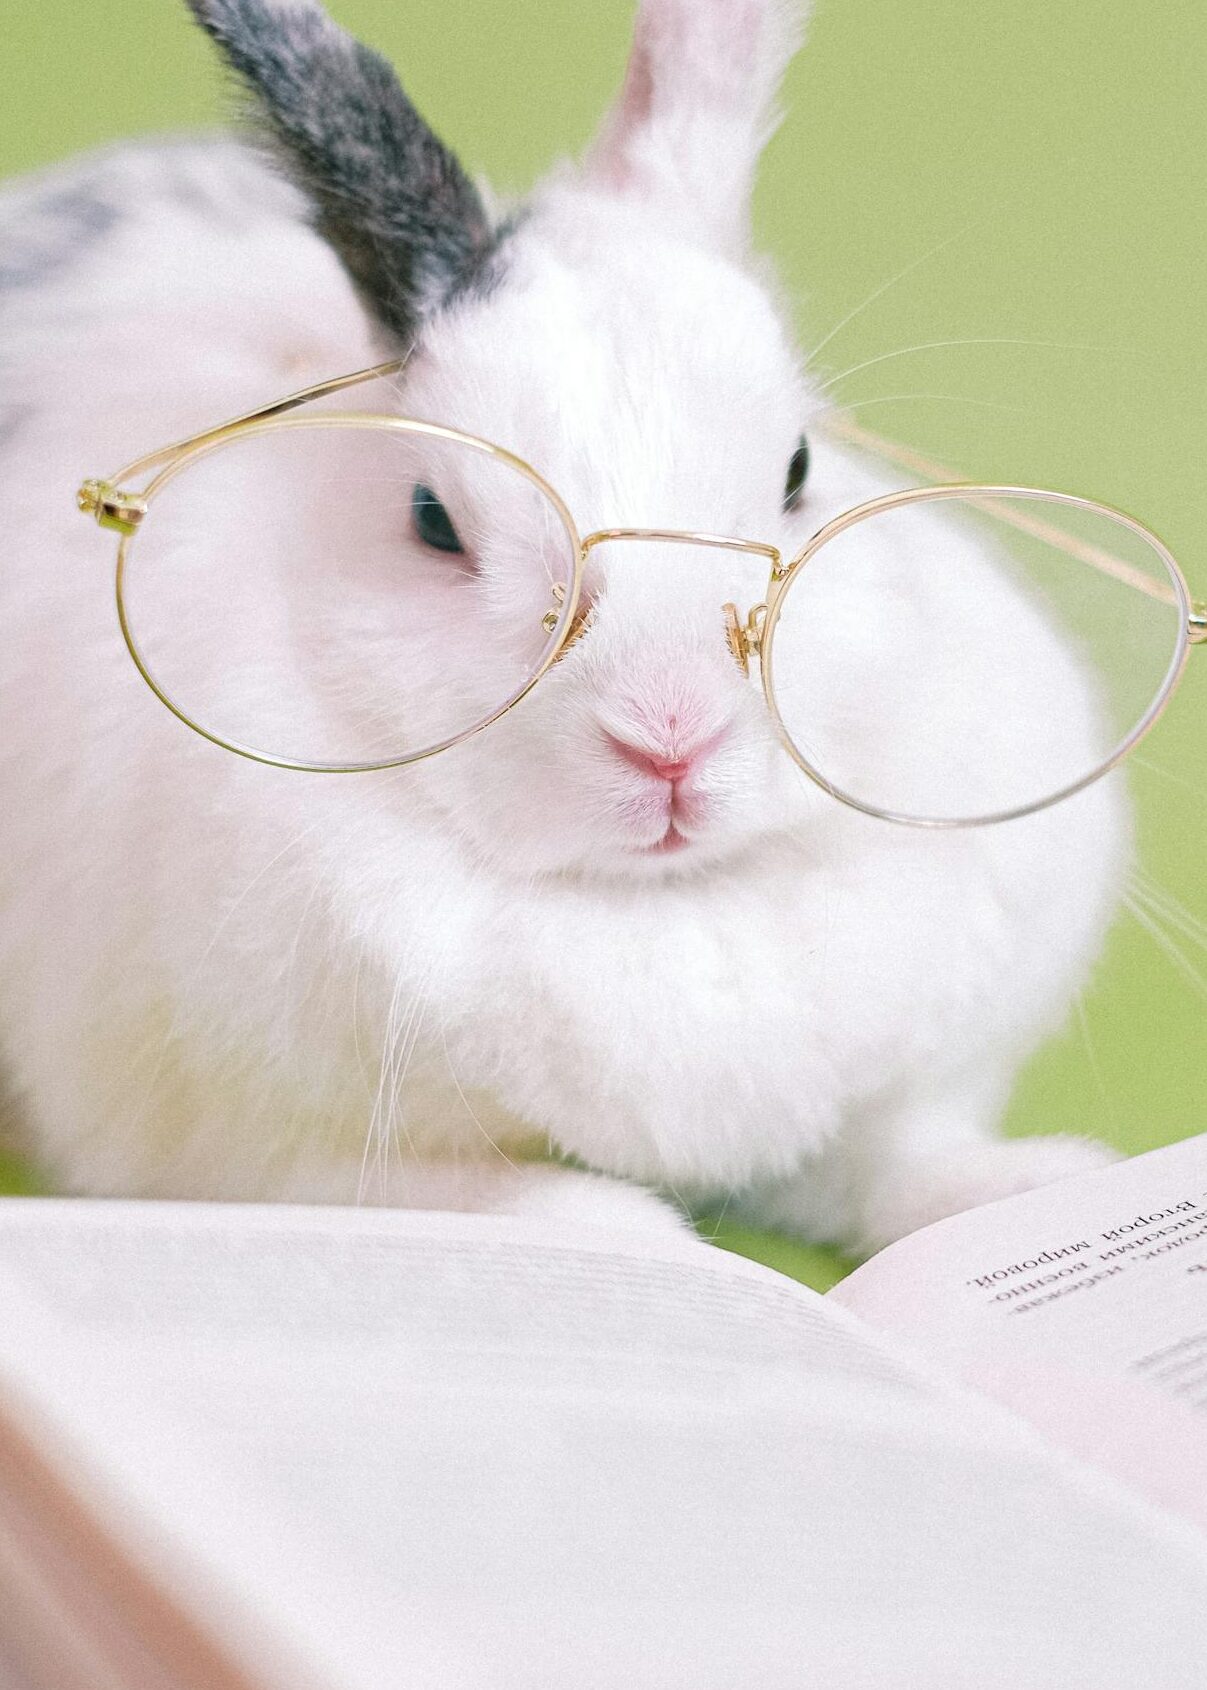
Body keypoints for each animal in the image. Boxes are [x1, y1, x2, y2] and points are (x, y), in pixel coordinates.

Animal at [0, 0, 1125, 1254]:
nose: (670, 737)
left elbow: (896, 1166)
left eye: (798, 469)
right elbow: (464, 1196)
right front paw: (628, 1235)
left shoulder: (889, 1103)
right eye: (432, 519)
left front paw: (1042, 1183)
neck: (657, 907)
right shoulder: (240, 1149)